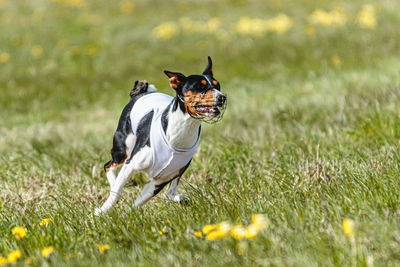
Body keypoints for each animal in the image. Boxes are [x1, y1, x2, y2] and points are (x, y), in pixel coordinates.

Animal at [95, 57, 227, 216]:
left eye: (217, 85)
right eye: (200, 87)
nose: (222, 97)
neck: (180, 133)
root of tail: (142, 93)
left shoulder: (159, 182)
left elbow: (137, 204)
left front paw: (125, 216)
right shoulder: (131, 165)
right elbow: (116, 194)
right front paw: (102, 212)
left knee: (171, 192)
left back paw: (180, 198)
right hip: (123, 149)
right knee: (108, 166)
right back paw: (114, 184)